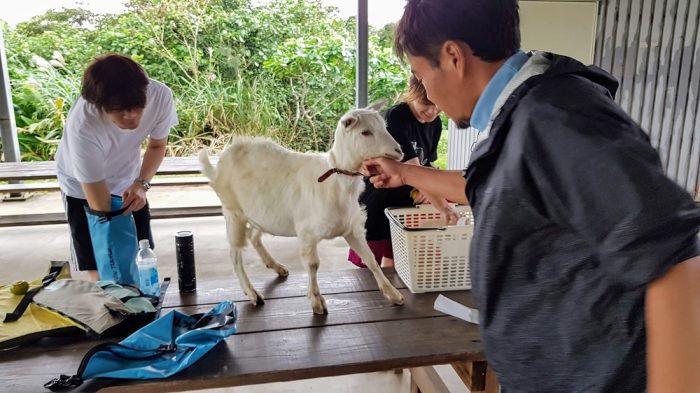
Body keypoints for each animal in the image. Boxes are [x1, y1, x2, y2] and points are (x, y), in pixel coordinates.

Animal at [198, 106, 404, 312]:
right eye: (365, 132)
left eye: (384, 127)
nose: (399, 150)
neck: (336, 182)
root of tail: (218, 165)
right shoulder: (307, 233)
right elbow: (313, 265)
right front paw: (316, 301)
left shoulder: (352, 229)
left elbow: (370, 259)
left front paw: (393, 294)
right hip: (233, 212)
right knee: (235, 254)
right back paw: (252, 293)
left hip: (261, 214)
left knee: (253, 237)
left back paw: (276, 266)